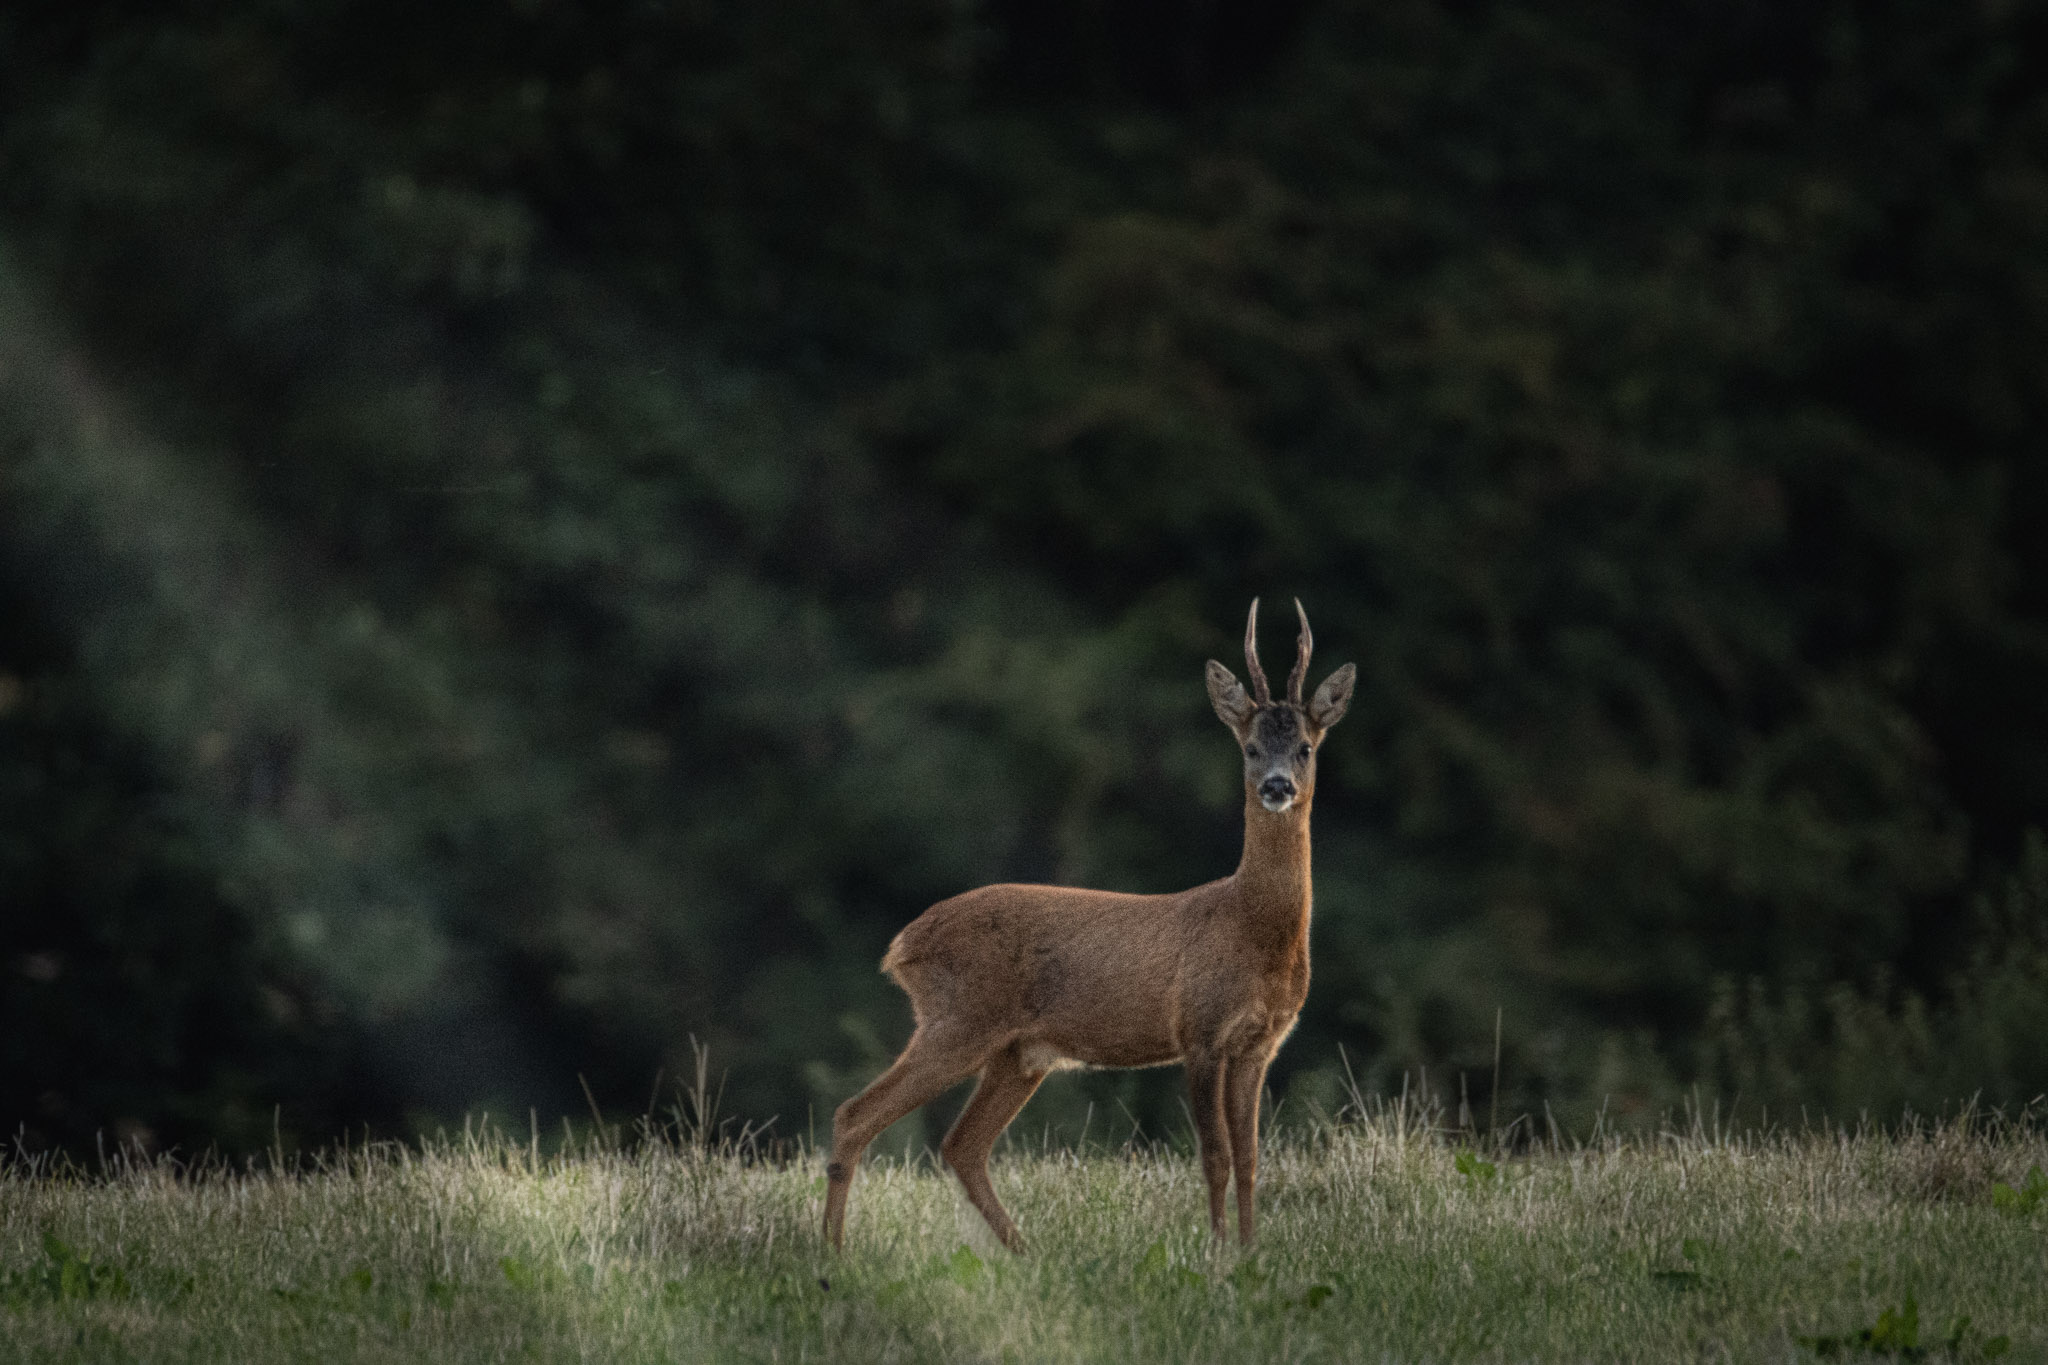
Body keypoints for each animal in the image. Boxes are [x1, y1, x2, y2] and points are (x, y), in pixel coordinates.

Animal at [822, 598, 1355, 1253]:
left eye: (1305, 746)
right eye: (1250, 748)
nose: (1277, 786)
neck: (1251, 930)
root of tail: (901, 946)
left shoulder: (1261, 1042)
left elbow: (1252, 1160)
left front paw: (1251, 1252)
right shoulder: (1199, 1030)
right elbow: (1215, 1158)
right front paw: (1216, 1252)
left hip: (1018, 1053)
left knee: (961, 1144)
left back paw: (1026, 1252)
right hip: (958, 1019)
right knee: (857, 1115)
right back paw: (832, 1252)